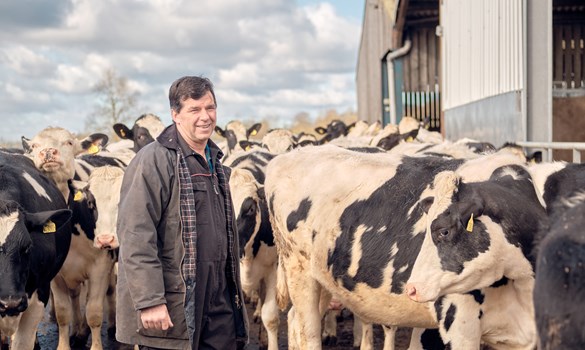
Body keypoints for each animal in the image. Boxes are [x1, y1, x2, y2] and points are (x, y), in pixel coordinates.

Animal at [264, 144, 524, 348]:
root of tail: (287, 156)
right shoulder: (461, 321)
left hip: (322, 279)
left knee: (294, 321)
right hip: (298, 269)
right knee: (307, 332)